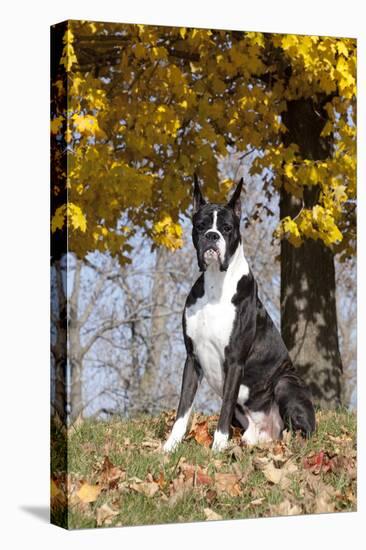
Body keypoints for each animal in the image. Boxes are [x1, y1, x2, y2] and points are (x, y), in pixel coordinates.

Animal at [163, 176, 314, 452]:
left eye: (227, 228)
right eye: (200, 226)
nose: (212, 236)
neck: (216, 283)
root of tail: (269, 433)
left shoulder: (234, 361)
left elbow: (224, 408)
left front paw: (218, 447)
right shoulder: (192, 359)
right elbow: (183, 409)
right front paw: (170, 446)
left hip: (286, 382)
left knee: (303, 431)